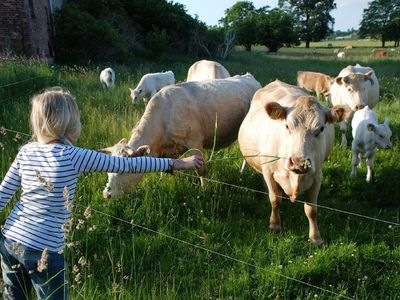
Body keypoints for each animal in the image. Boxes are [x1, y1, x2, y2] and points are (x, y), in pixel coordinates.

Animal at [101, 73, 260, 198]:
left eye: (122, 171)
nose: (106, 194)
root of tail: (249, 77)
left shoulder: (195, 142)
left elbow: (201, 170)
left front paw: (205, 191)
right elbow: (164, 168)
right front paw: (161, 182)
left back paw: (242, 172)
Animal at [238, 79, 350, 244]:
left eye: (321, 129)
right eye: (287, 126)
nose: (298, 162)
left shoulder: (317, 176)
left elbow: (311, 210)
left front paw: (315, 237)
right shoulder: (269, 171)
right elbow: (275, 199)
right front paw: (275, 225)